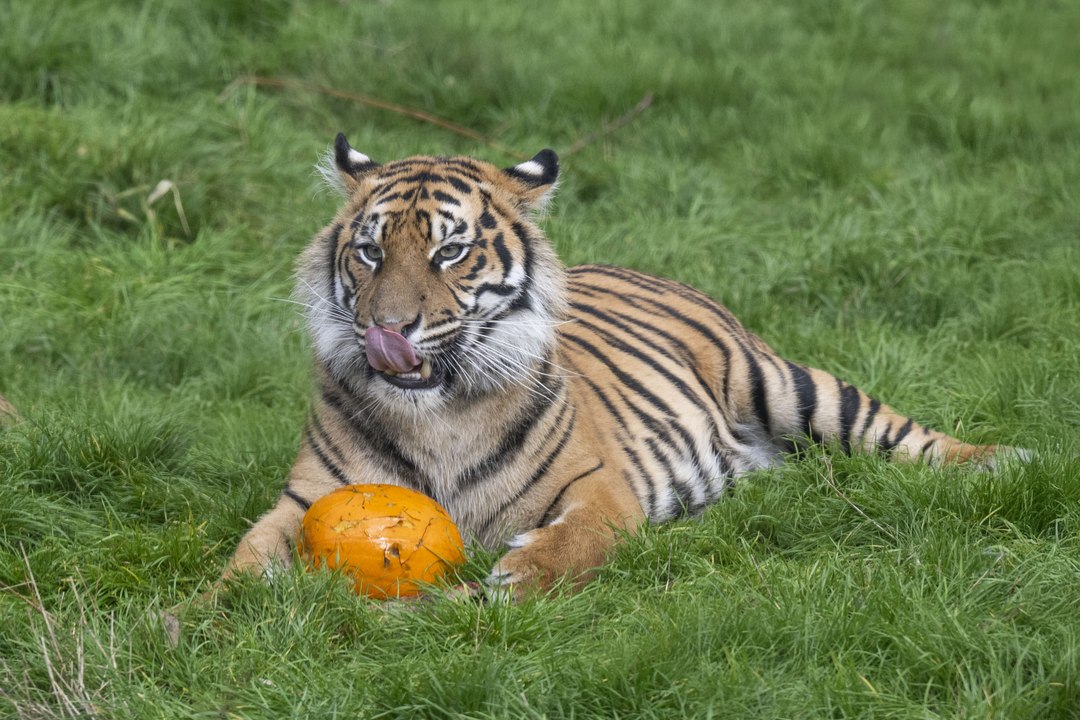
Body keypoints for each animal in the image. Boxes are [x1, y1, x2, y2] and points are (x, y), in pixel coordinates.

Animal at [223, 134, 1020, 597]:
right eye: (369, 251)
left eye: (450, 251)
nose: (387, 330)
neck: (437, 415)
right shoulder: (303, 501)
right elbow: (246, 561)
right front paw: (213, 614)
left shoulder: (598, 488)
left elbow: (575, 541)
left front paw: (517, 575)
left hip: (785, 386)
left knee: (904, 435)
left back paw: (1001, 461)